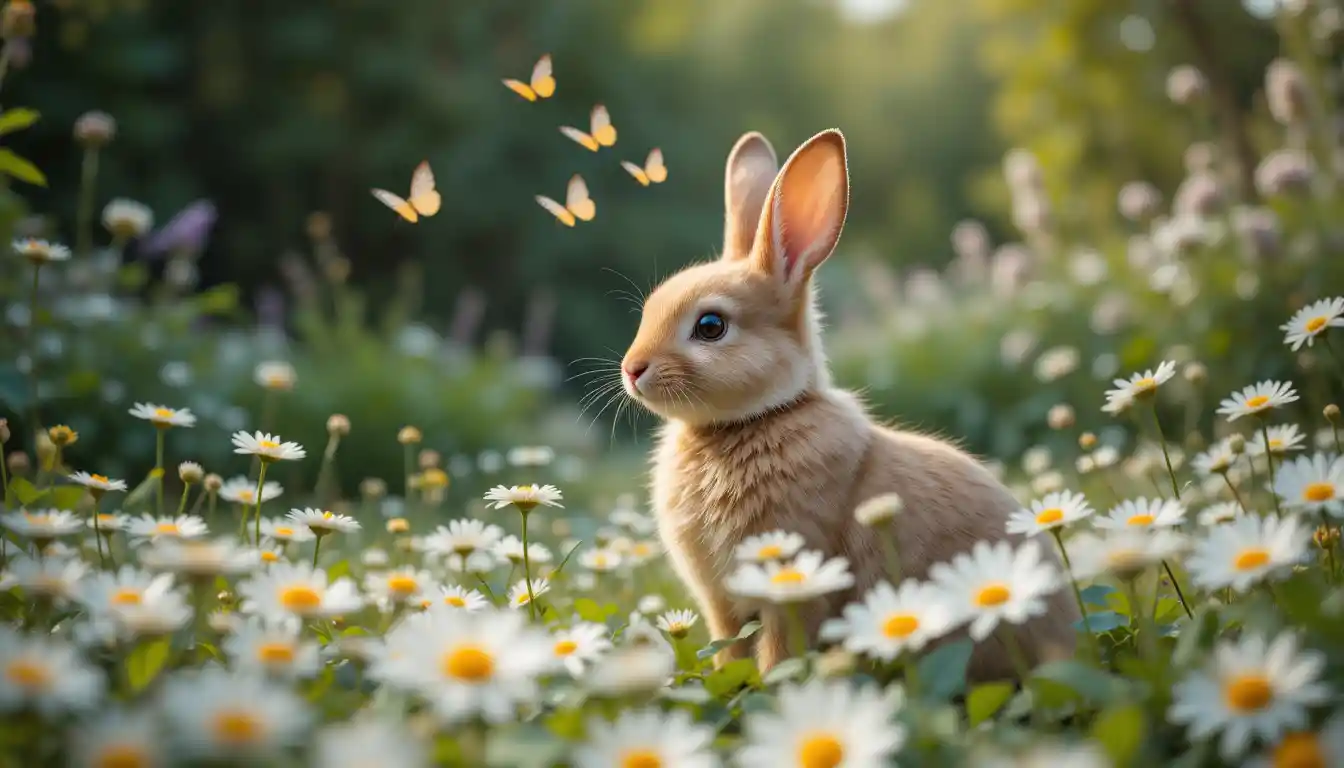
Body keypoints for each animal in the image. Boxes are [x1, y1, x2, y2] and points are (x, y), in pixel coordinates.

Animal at [617, 128, 1080, 680]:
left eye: (711, 326)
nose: (632, 369)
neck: (756, 419)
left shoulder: (796, 588)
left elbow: (780, 655)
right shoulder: (723, 607)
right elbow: (730, 653)